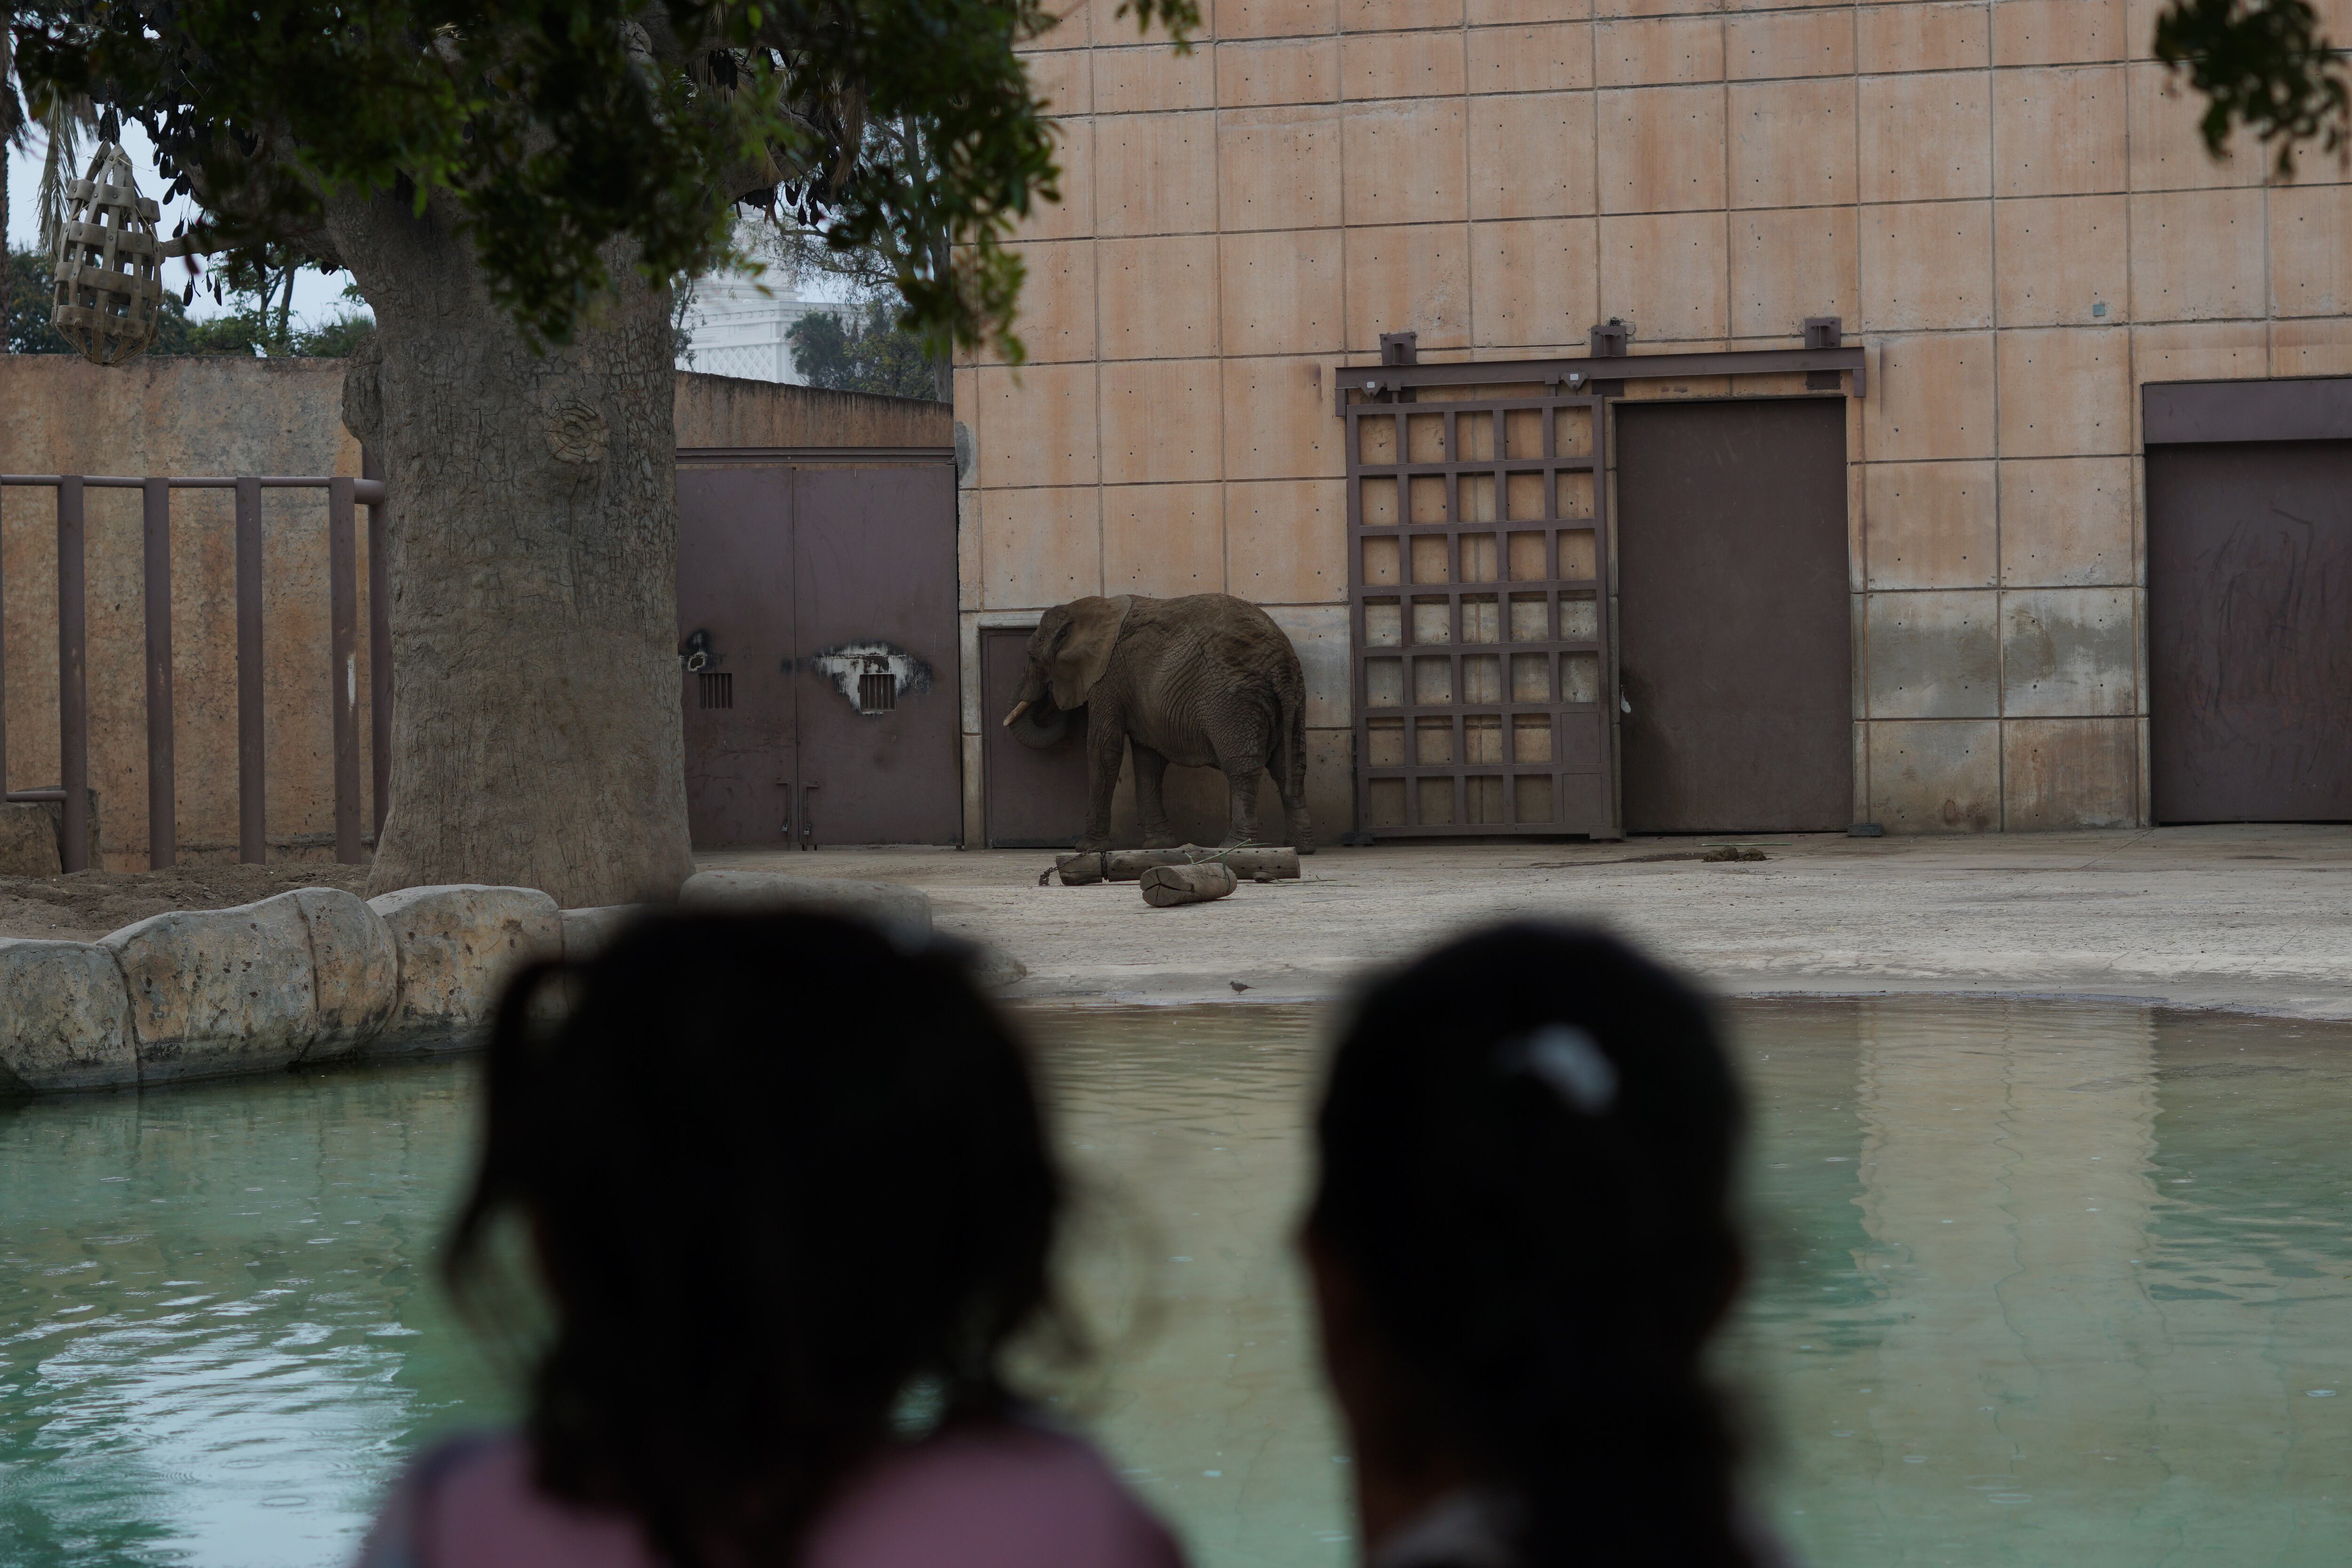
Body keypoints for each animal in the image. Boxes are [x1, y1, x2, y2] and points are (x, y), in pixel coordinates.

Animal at [1002, 592, 1317, 860]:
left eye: (1032, 657)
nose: (1052, 699)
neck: (1090, 608)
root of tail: (1280, 662)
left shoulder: (1107, 678)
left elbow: (1104, 750)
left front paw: (1087, 847)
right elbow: (1147, 759)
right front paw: (1159, 846)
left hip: (1233, 702)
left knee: (1243, 768)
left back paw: (1235, 847)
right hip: (1293, 696)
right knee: (1290, 765)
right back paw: (1300, 848)